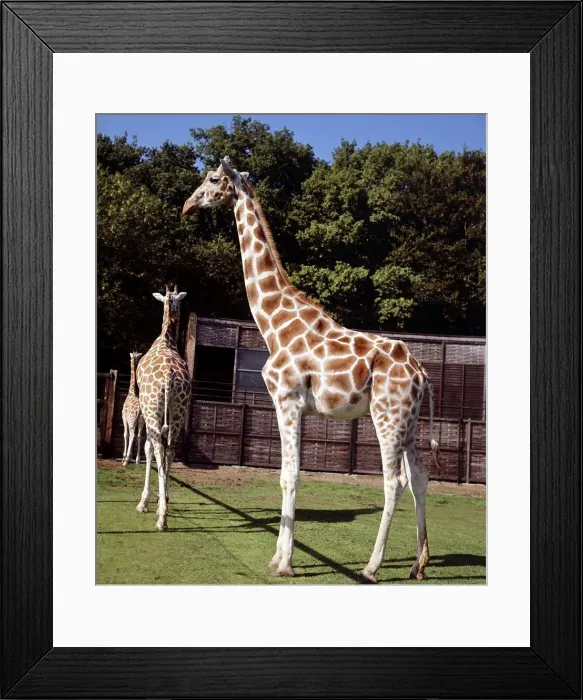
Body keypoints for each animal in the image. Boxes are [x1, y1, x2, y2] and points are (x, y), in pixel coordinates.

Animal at [182, 158, 441, 582]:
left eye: (213, 179)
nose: (188, 205)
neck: (274, 324)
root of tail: (423, 375)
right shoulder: (294, 406)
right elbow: (285, 473)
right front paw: (276, 557)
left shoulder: (287, 400)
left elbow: (291, 475)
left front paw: (285, 563)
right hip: (409, 422)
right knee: (419, 477)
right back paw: (417, 565)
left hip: (387, 416)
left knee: (395, 481)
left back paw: (371, 567)